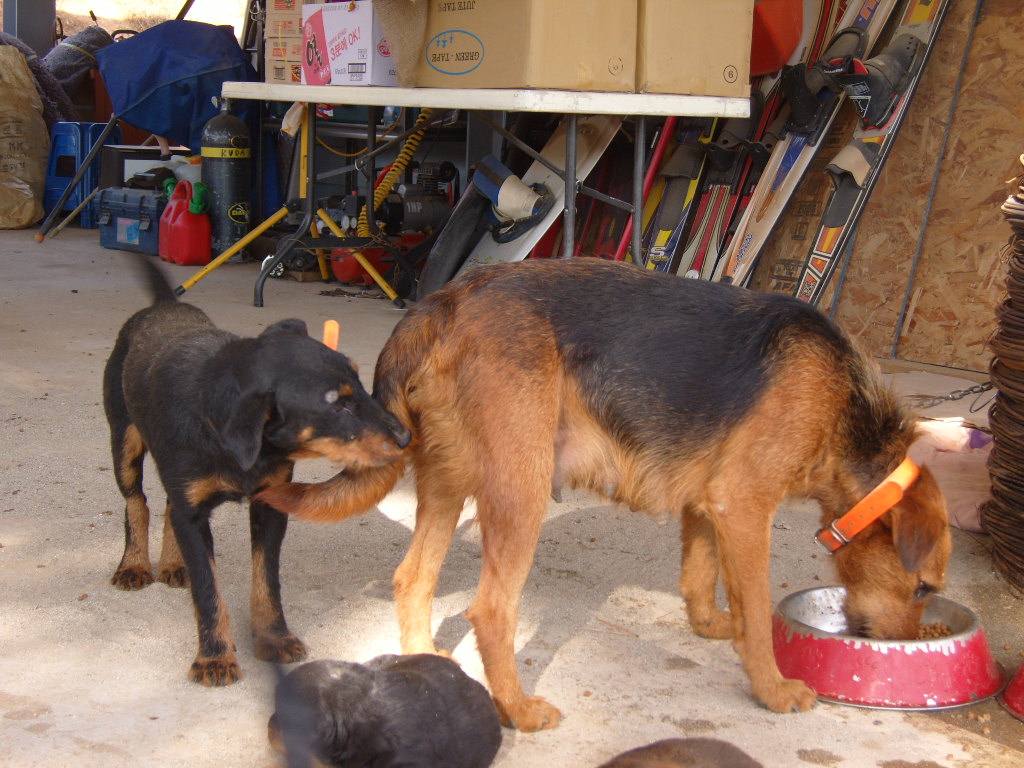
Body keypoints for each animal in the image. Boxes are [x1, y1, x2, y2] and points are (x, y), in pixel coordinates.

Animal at [103, 258, 410, 685]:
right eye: (336, 404)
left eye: (360, 383)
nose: (406, 437)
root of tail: (163, 306)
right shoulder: (193, 513)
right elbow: (208, 589)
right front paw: (215, 657)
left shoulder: (270, 504)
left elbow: (267, 578)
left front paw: (273, 637)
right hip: (125, 441)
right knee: (137, 501)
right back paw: (133, 564)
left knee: (166, 504)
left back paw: (173, 563)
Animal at [258, 258, 951, 729]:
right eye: (922, 588)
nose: (901, 647)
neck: (845, 407)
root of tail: (444, 300)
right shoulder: (745, 507)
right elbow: (755, 614)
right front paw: (773, 689)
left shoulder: (709, 505)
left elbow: (700, 576)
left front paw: (709, 626)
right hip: (521, 489)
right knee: (491, 611)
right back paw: (518, 709)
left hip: (446, 483)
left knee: (413, 579)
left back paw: (429, 664)